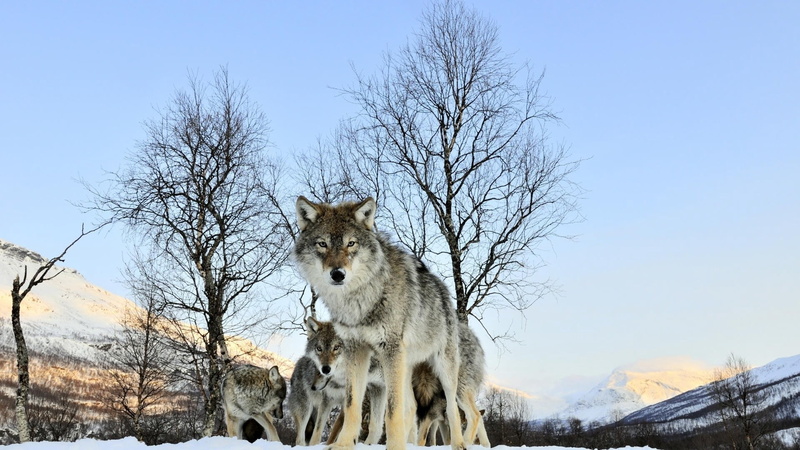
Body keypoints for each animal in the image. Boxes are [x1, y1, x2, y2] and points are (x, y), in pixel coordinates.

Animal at [294, 196, 466, 450]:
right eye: (322, 244)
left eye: (351, 243)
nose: (338, 274)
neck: (360, 300)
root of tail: (441, 287)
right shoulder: (356, 350)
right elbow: (352, 406)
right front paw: (343, 444)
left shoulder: (389, 350)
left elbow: (392, 412)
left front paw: (394, 447)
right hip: (405, 368)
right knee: (411, 407)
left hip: (442, 368)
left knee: (452, 408)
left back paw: (459, 444)